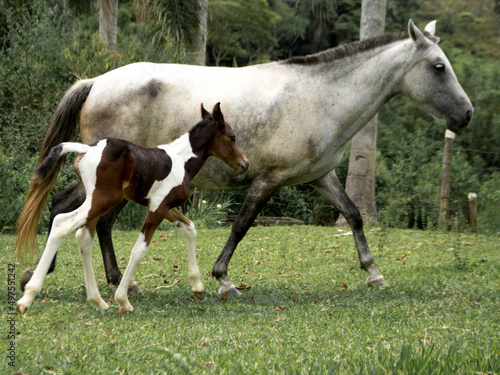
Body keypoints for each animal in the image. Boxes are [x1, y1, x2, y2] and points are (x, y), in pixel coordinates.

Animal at [17, 103, 248, 314]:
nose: (245, 164)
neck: (181, 160)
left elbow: (190, 229)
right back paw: (28, 296)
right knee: (62, 224)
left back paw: (97, 301)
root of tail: (88, 148)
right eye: (232, 137)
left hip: (95, 202)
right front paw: (123, 300)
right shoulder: (158, 208)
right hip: (103, 200)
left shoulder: (164, 206)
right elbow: (139, 250)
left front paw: (198, 288)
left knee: (83, 237)